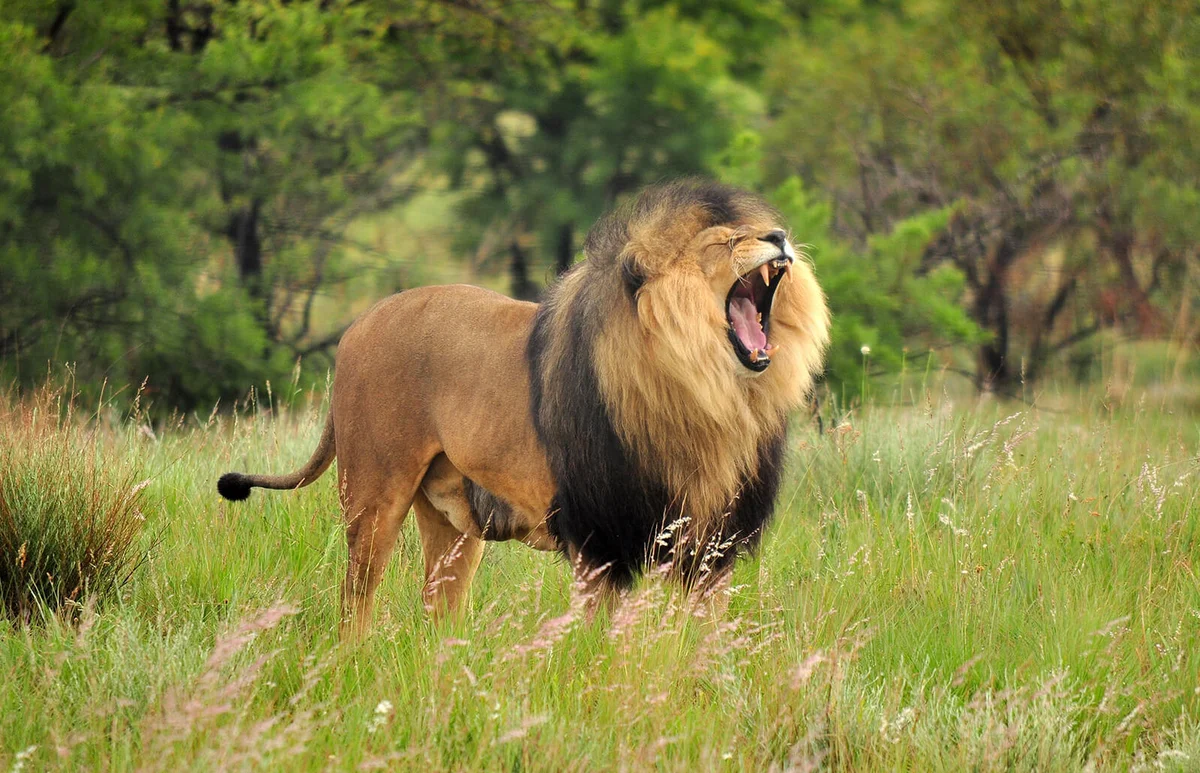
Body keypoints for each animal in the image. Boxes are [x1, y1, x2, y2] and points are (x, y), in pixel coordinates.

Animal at [218, 179, 829, 638]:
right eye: (725, 243)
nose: (779, 236)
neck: (714, 399)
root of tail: (358, 324)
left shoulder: (712, 547)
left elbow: (702, 638)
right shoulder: (601, 540)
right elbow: (605, 638)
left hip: (452, 524)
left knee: (438, 607)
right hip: (373, 497)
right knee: (354, 603)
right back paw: (357, 664)